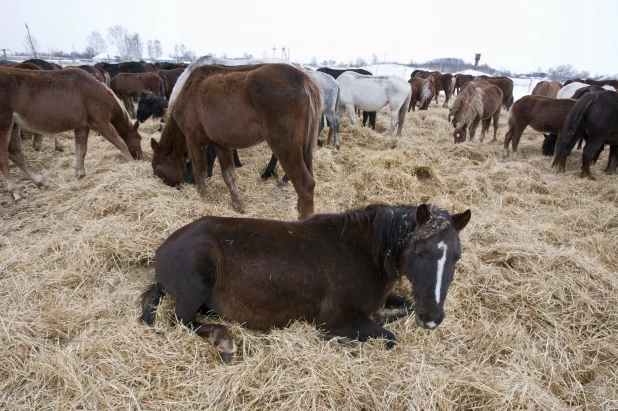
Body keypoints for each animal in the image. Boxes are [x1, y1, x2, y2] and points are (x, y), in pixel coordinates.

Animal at [0, 67, 141, 203]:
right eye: (139, 138)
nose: (140, 156)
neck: (97, 92)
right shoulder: (100, 123)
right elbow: (120, 143)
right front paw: (132, 163)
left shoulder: (82, 127)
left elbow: (81, 150)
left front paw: (80, 174)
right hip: (5, 125)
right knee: (4, 158)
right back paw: (17, 193)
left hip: (14, 126)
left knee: (16, 154)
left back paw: (41, 181)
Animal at [141, 204, 472, 364]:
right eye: (420, 252)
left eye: (457, 257)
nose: (432, 318)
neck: (365, 254)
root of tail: (163, 248)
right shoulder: (336, 320)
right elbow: (389, 337)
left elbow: (402, 307)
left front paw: (387, 314)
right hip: (196, 287)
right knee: (183, 320)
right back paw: (224, 341)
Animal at [150, 63, 322, 220]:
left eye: (155, 166)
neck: (190, 90)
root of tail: (305, 81)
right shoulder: (220, 144)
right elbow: (229, 175)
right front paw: (238, 205)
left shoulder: (194, 138)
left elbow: (200, 171)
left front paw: (204, 198)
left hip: (283, 144)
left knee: (305, 184)